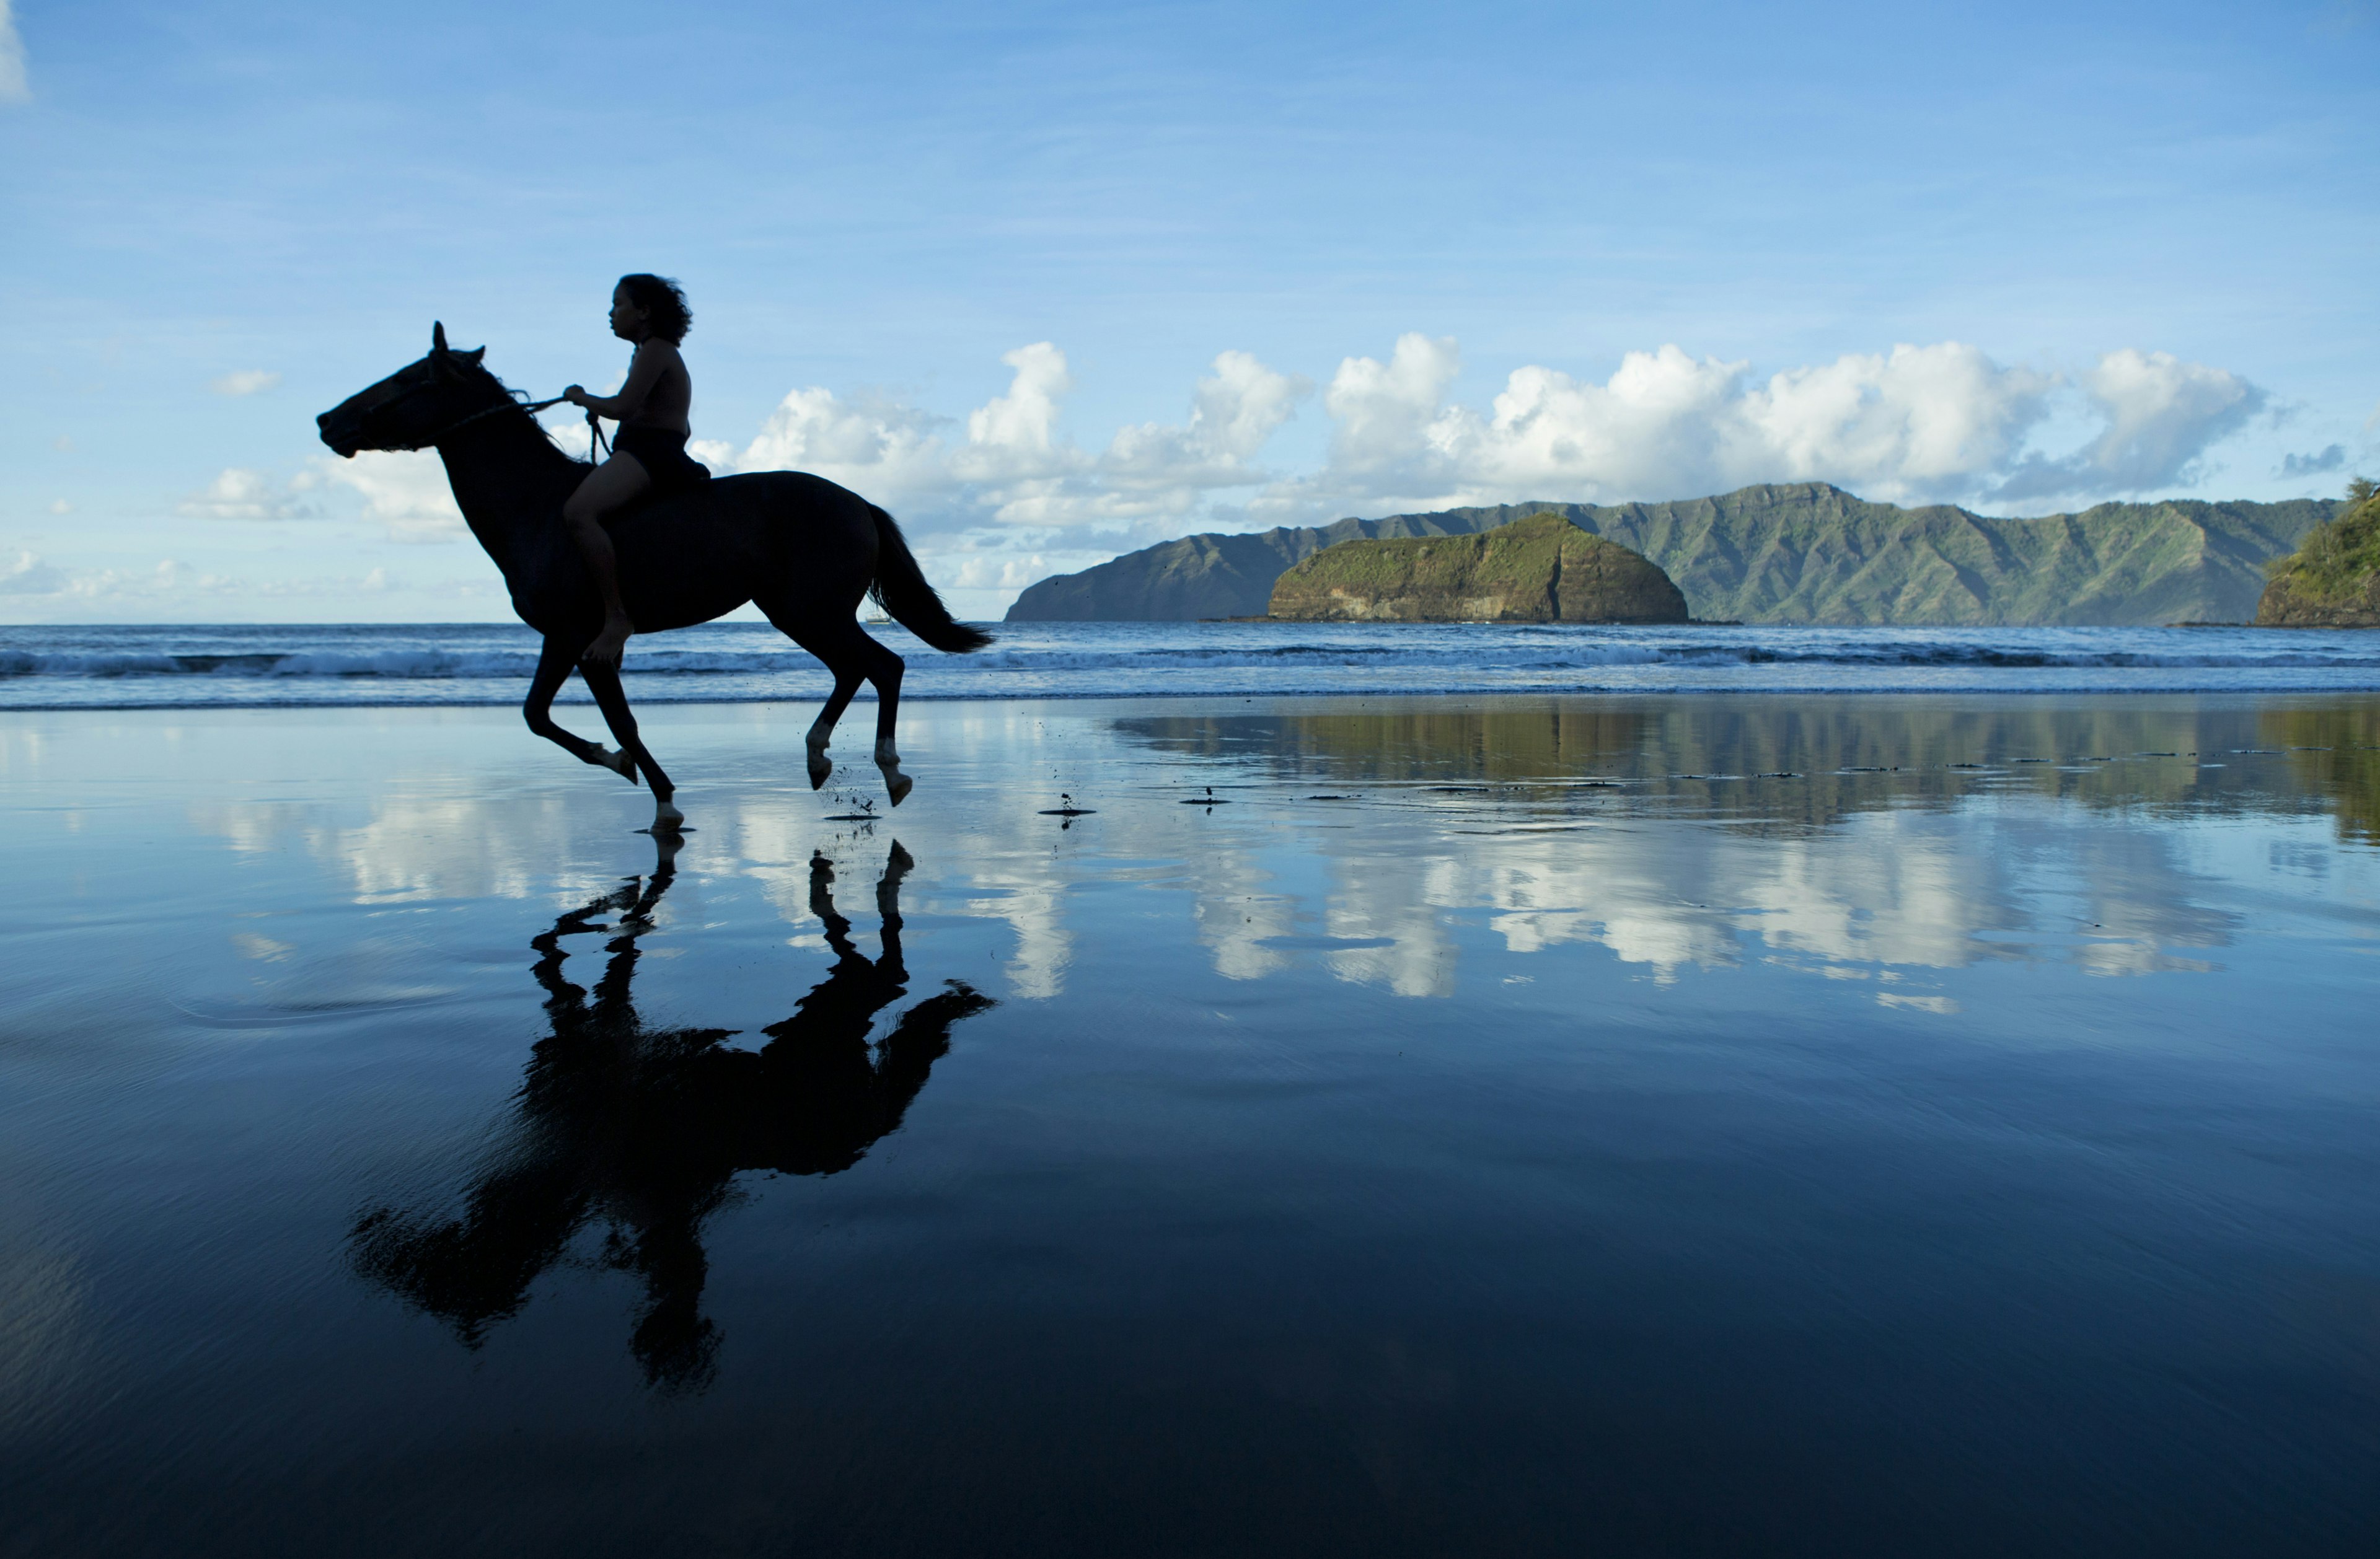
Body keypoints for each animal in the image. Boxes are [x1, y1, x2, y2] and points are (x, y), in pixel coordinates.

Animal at [316, 323, 985, 838]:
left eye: (407, 379)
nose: (327, 419)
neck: (536, 509)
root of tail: (857, 502)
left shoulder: (582, 641)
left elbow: (615, 722)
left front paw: (657, 797)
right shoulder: (563, 639)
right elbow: (538, 715)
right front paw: (617, 765)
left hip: (811, 612)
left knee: (883, 666)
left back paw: (889, 769)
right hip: (798, 613)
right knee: (855, 669)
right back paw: (819, 757)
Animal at [347, 838, 990, 1399]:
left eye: (439, 1283)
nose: (369, 1244)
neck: (565, 1159)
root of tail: (854, 1136)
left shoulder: (593, 1041)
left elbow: (570, 958)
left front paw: (618, 907)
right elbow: (568, 957)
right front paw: (619, 908)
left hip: (831, 1020)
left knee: (888, 969)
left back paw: (870, 876)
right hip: (829, 1023)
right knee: (876, 966)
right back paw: (836, 878)